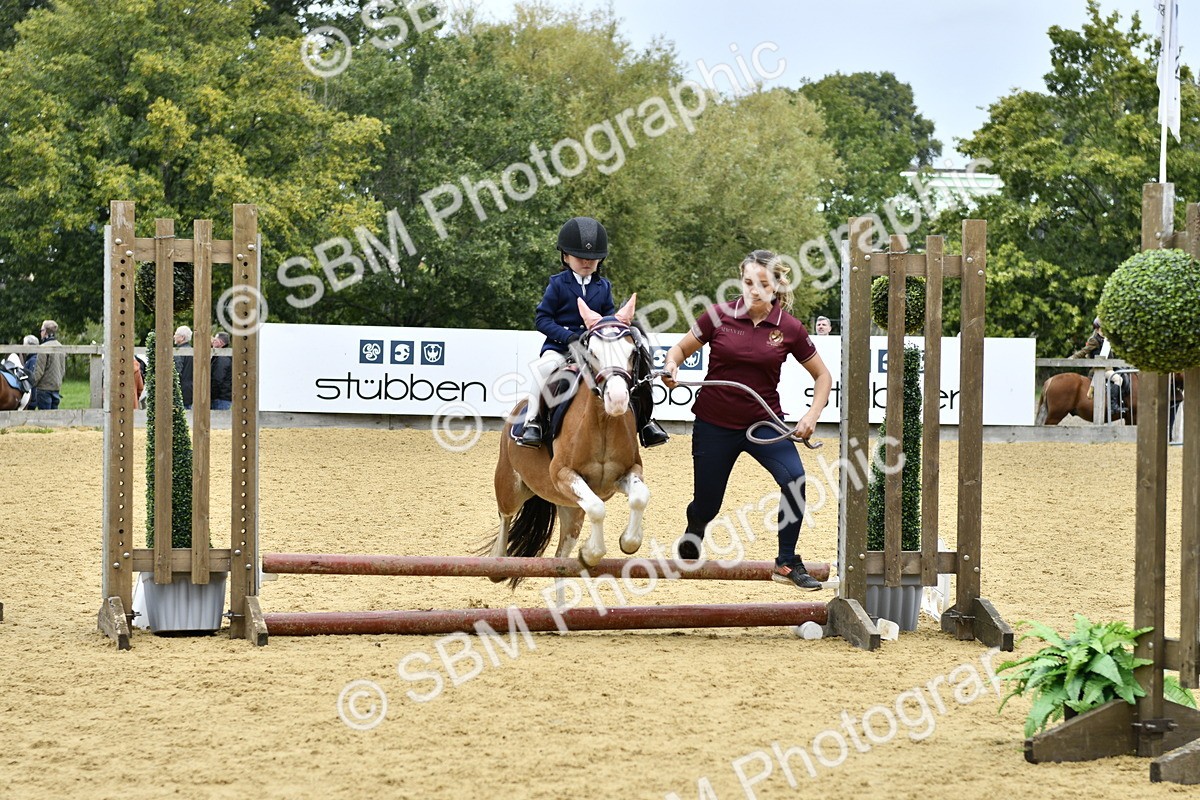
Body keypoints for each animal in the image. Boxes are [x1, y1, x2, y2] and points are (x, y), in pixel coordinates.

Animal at [489, 295, 649, 583]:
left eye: (632, 352)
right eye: (593, 353)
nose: (618, 399)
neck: (603, 422)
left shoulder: (627, 472)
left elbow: (639, 497)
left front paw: (621, 544)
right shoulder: (563, 474)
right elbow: (597, 508)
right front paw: (592, 553)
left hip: (570, 509)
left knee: (560, 562)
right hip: (511, 486)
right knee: (505, 516)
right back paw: (499, 563)